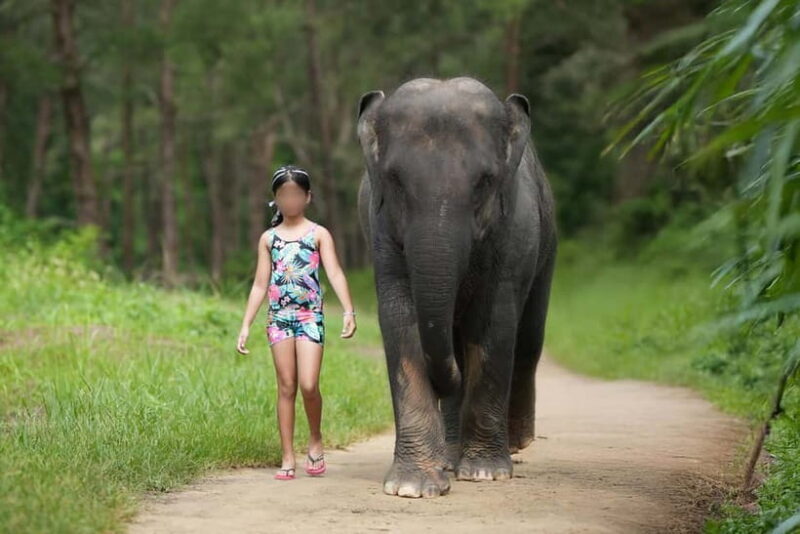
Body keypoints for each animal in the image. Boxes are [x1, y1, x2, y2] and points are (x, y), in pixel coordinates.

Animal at [355, 77, 558, 498]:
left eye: (485, 181)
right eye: (395, 180)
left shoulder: (513, 230)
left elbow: (495, 322)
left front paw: (485, 472)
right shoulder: (381, 231)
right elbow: (400, 320)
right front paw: (411, 486)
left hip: (549, 246)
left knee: (529, 339)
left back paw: (517, 442)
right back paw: (450, 454)